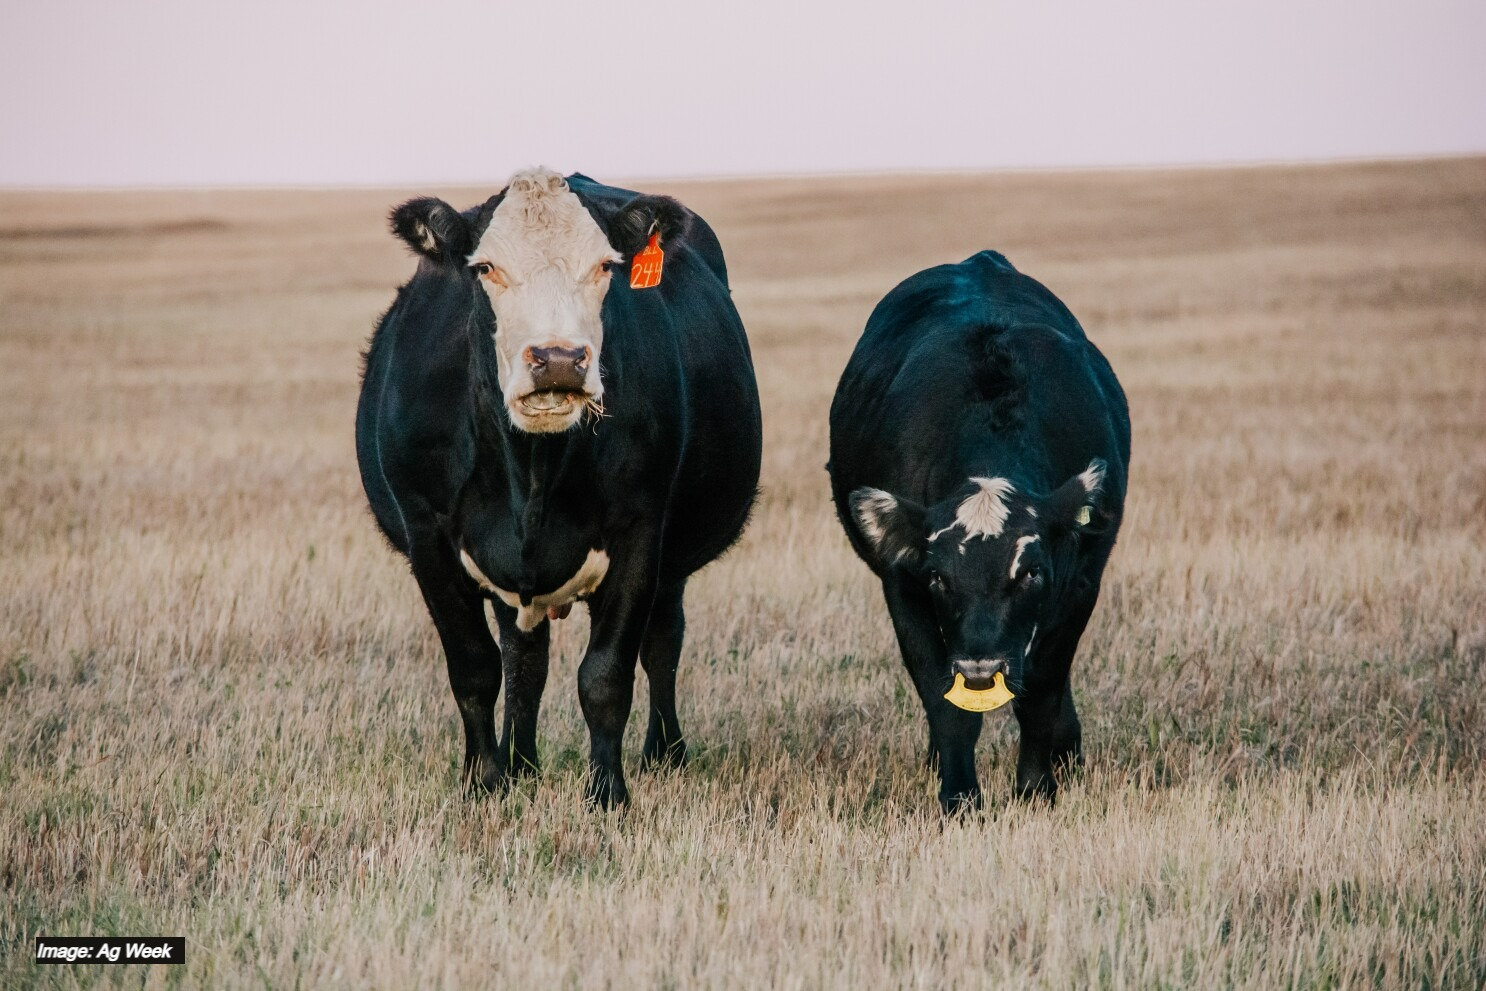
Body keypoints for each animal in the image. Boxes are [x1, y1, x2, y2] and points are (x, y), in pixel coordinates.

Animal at [356, 169, 762, 808]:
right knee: (525, 661)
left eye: (604, 267)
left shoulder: (640, 533)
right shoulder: (429, 539)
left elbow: (606, 676)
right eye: (486, 267)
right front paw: (484, 782)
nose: (559, 359)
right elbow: (476, 670)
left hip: (670, 565)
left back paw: (663, 754)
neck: (531, 472)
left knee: (662, 645)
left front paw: (608, 794)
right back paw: (521, 764)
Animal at [828, 250, 1129, 812]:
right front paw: (959, 797)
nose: (981, 669)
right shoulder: (903, 588)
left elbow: (1042, 693)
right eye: (939, 578)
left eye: (1031, 573)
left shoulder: (1079, 585)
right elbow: (945, 703)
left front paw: (1035, 789)